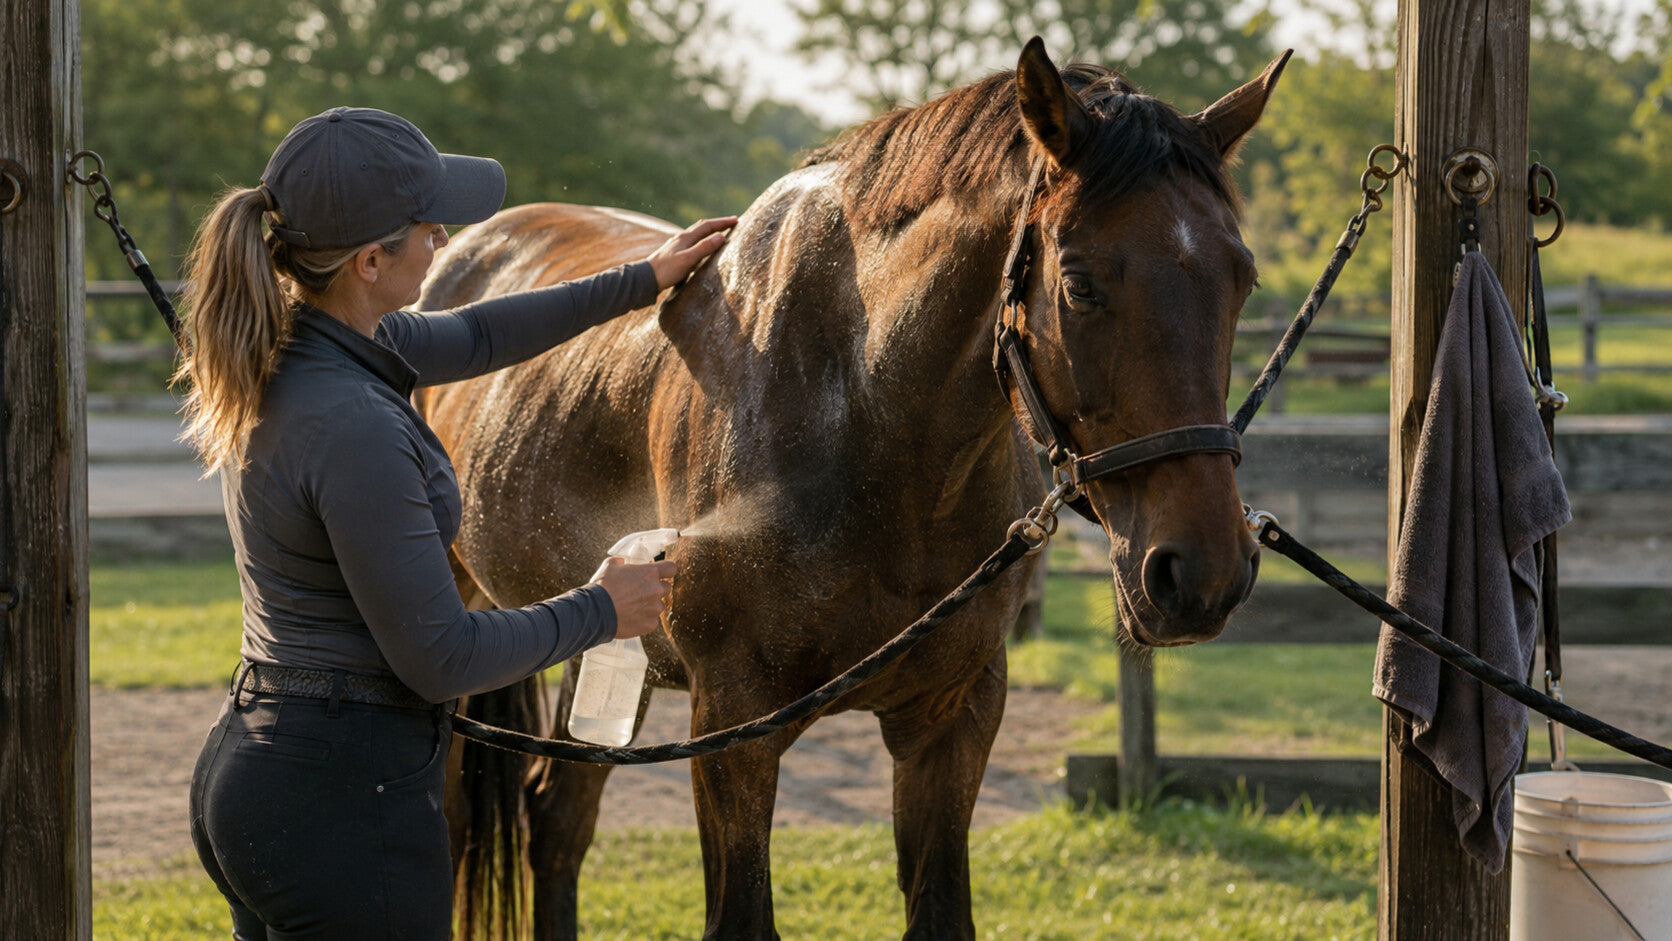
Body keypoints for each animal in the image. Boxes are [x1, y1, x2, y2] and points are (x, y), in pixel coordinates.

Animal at [417, 38, 1287, 941]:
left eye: (1242, 280)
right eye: (1079, 282)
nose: (1203, 571)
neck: (869, 424)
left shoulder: (953, 718)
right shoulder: (732, 727)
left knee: (555, 823)